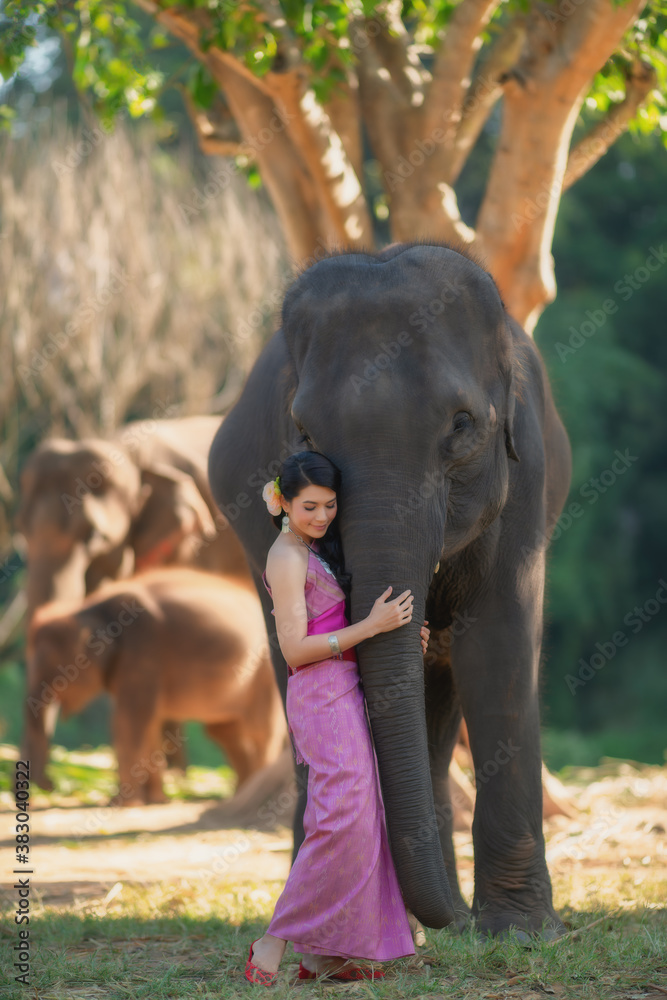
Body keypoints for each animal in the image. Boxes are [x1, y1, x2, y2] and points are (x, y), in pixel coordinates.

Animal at [24, 567, 287, 805]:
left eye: (59, 671)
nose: (50, 786)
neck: (87, 609)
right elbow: (147, 724)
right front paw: (155, 800)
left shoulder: (143, 648)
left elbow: (130, 721)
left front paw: (122, 803)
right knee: (224, 731)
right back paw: (241, 793)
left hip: (265, 670)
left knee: (258, 730)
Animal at [207, 242, 572, 939]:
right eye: (305, 435)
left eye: (461, 424)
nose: (454, 923)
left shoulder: (526, 480)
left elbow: (497, 650)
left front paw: (519, 932)